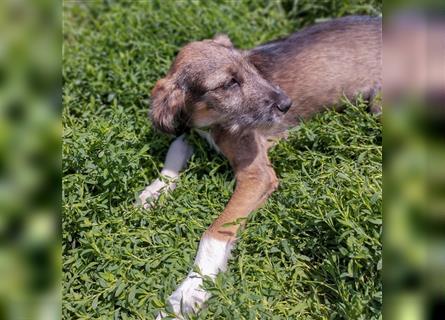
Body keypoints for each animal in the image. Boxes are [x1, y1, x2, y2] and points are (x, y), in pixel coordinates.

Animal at [139, 16, 382, 318]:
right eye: (229, 83)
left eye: (250, 68)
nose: (287, 104)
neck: (209, 122)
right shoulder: (190, 131)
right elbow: (175, 148)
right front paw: (155, 190)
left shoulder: (257, 174)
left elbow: (214, 232)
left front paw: (188, 291)